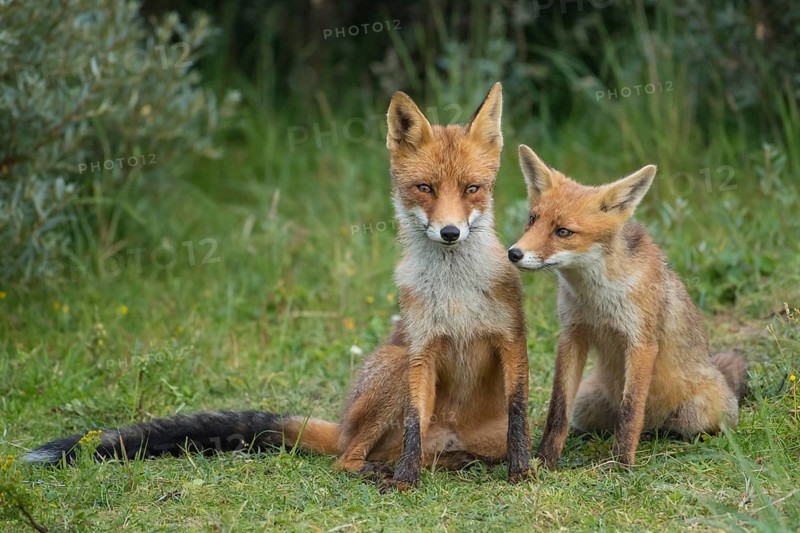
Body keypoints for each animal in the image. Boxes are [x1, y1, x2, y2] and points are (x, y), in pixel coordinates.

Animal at [24, 83, 531, 490]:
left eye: (472, 189)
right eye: (424, 188)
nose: (450, 232)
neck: (456, 294)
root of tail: (340, 424)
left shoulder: (511, 340)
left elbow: (519, 413)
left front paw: (523, 471)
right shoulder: (422, 351)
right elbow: (411, 426)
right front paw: (406, 482)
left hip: (464, 428)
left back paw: (460, 463)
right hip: (394, 365)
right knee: (349, 458)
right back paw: (384, 470)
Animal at [506, 144, 747, 468]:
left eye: (563, 232)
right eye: (532, 220)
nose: (514, 253)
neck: (597, 300)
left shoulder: (641, 342)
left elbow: (631, 410)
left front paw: (621, 464)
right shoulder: (572, 335)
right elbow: (557, 410)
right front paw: (544, 460)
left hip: (698, 414)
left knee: (668, 427)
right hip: (586, 403)